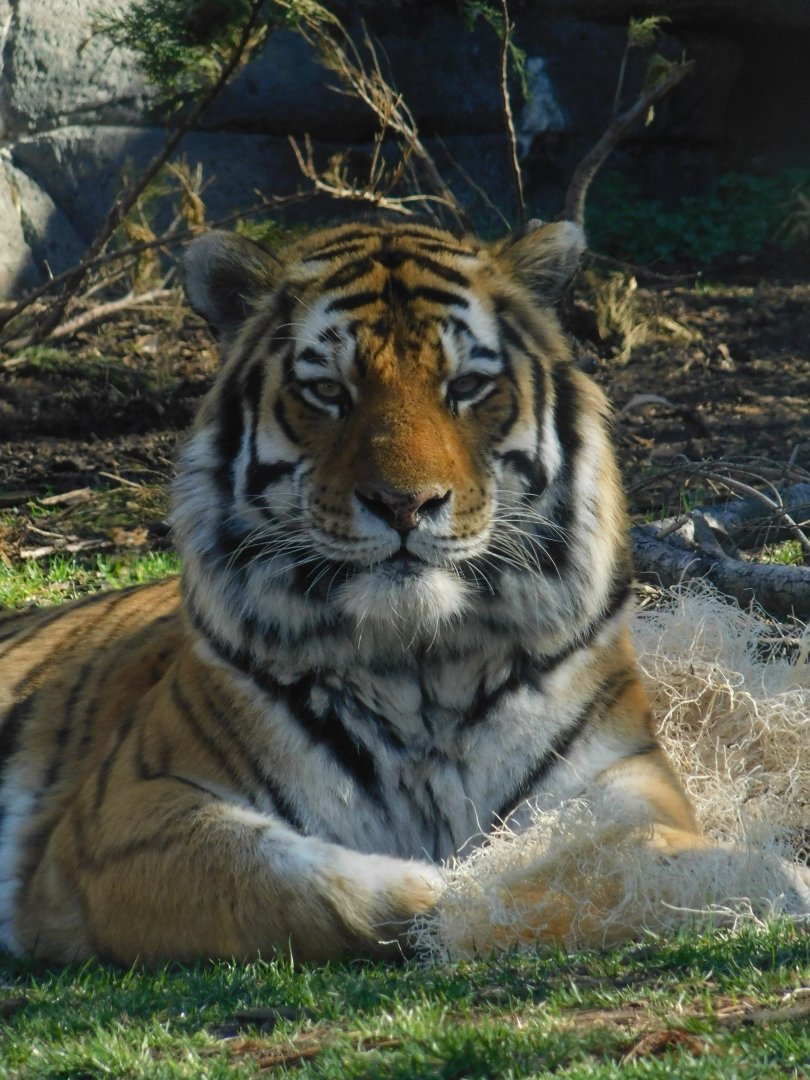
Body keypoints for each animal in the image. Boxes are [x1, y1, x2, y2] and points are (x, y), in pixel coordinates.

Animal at [0, 218, 731, 964]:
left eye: (467, 385)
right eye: (328, 391)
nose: (404, 504)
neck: (418, 670)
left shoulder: (628, 775)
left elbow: (638, 849)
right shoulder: (125, 816)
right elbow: (279, 877)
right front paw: (454, 893)